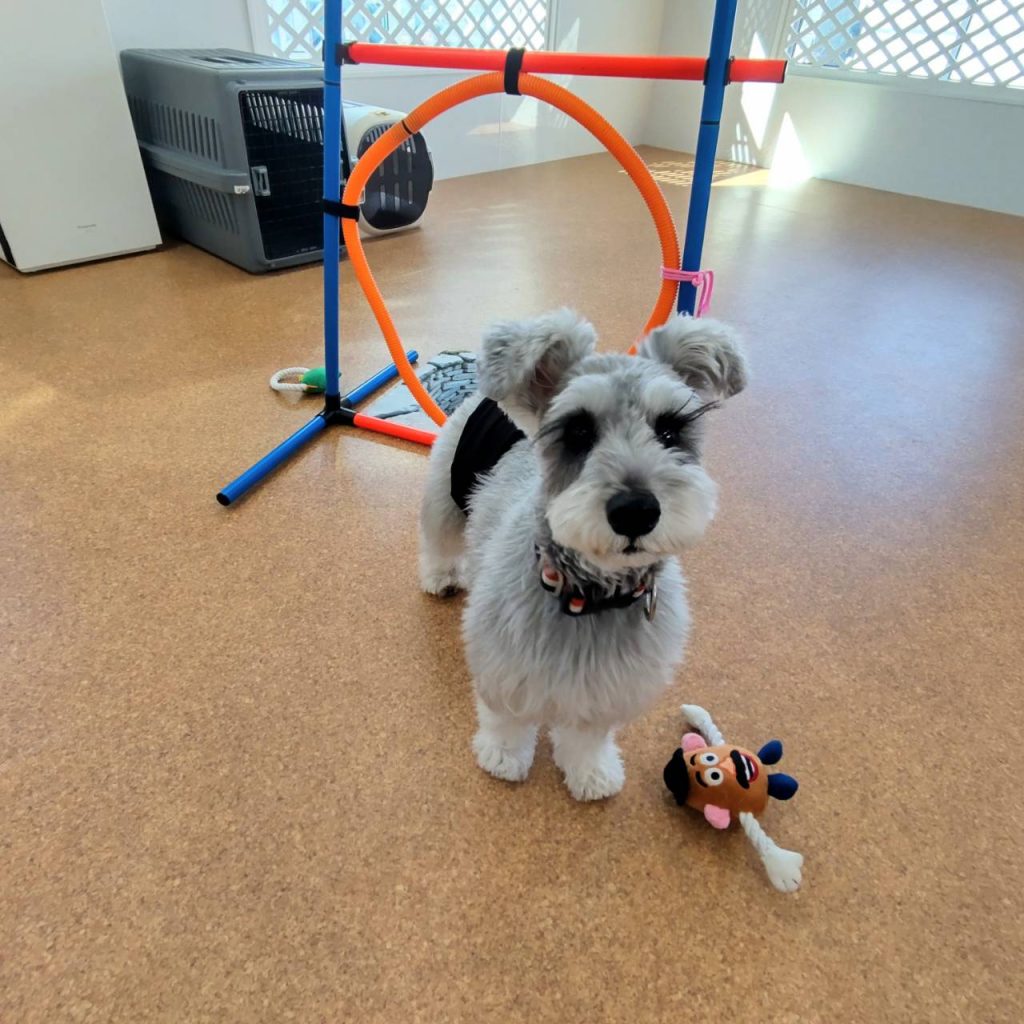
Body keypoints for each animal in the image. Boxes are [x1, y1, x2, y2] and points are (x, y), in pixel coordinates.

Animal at [419, 309, 748, 800]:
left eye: (669, 429)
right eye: (578, 430)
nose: (636, 511)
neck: (588, 593)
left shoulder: (608, 685)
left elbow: (587, 735)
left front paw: (590, 771)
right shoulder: (503, 663)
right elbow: (507, 717)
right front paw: (503, 755)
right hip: (444, 498)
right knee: (437, 540)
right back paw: (440, 575)